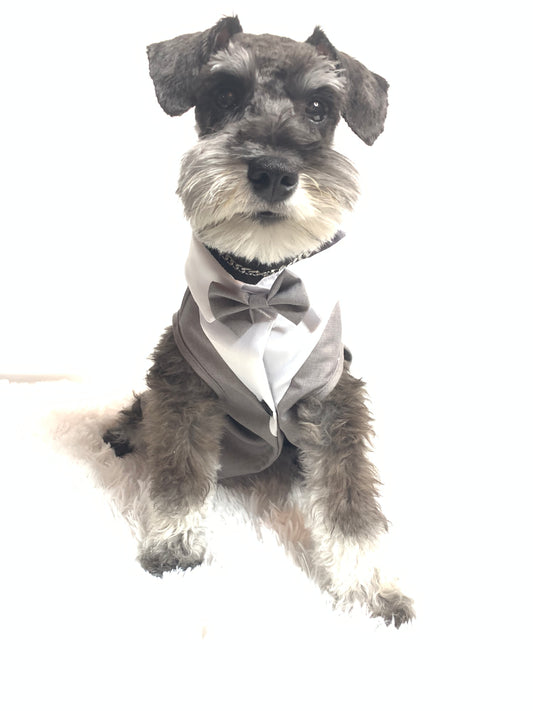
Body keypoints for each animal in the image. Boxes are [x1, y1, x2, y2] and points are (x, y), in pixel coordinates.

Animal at [102, 16, 414, 628]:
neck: (261, 288)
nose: (273, 171)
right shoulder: (183, 384)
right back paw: (127, 430)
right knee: (145, 412)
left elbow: (351, 499)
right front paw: (174, 544)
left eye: (319, 107)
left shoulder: (333, 399)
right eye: (225, 93)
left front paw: (371, 588)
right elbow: (180, 472)